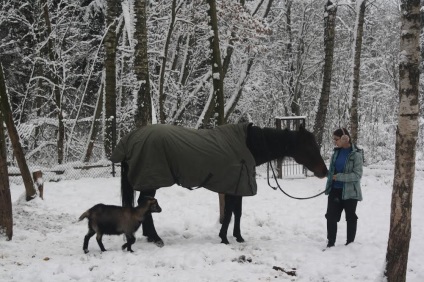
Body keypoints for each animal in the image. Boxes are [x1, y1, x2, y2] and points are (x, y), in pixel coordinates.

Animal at [110, 122, 328, 246]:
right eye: (309, 146)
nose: (324, 172)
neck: (248, 146)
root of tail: (130, 139)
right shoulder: (232, 186)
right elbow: (230, 212)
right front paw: (224, 237)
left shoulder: (237, 186)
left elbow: (237, 213)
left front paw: (238, 236)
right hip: (151, 181)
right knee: (145, 204)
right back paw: (155, 237)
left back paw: (150, 235)